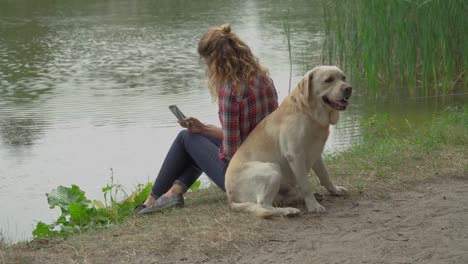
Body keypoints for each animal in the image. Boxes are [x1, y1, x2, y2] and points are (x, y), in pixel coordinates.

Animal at [226, 65, 352, 218]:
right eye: (329, 80)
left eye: (343, 77)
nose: (349, 88)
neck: (308, 112)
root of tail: (230, 198)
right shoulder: (296, 156)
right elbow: (306, 184)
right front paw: (313, 205)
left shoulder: (316, 153)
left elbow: (324, 175)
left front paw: (335, 189)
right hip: (272, 169)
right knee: (264, 205)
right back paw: (288, 211)